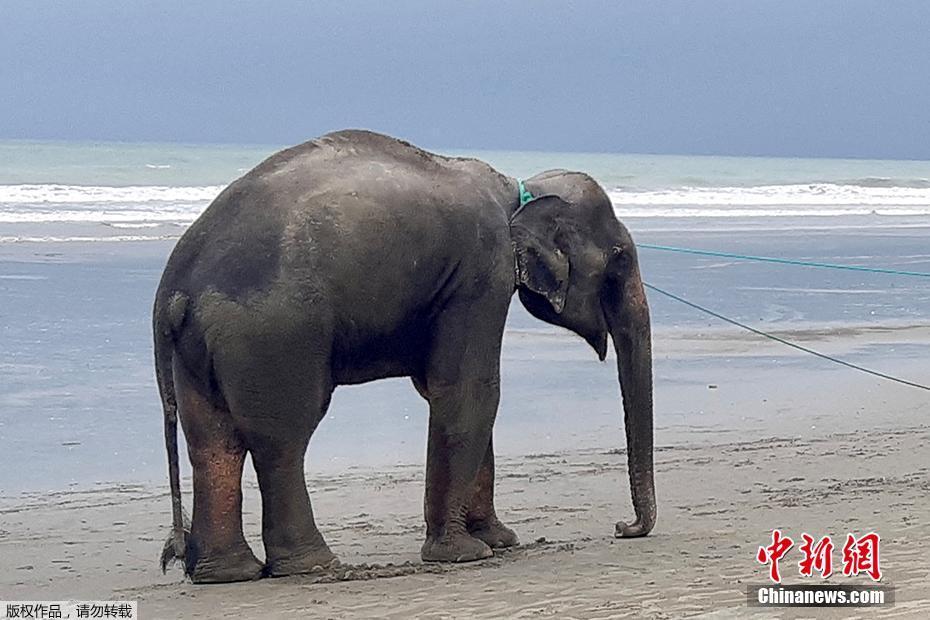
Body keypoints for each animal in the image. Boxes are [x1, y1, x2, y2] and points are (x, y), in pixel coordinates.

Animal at [152, 128, 656, 584]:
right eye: (619, 258)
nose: (622, 527)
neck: (517, 190)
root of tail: (174, 288)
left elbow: (450, 392)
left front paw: (498, 540)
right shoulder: (481, 272)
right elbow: (471, 390)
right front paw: (465, 554)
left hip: (199, 351)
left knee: (212, 443)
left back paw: (227, 574)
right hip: (273, 336)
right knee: (281, 440)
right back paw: (313, 566)